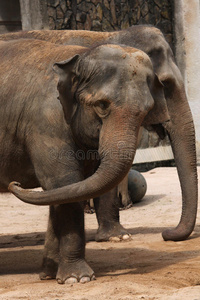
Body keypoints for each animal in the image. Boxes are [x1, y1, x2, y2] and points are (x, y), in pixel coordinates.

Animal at [0, 38, 167, 282]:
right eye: (102, 105)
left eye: (147, 111)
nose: (14, 183)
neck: (80, 56)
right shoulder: (46, 121)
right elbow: (64, 182)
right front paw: (77, 279)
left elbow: (65, 189)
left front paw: (50, 274)